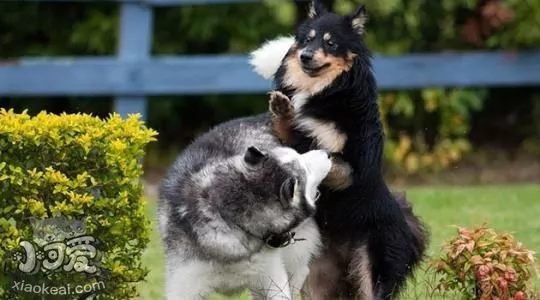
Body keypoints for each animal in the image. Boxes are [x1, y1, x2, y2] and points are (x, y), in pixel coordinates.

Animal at [158, 115, 332, 300]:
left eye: (298, 154)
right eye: (306, 170)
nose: (327, 153)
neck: (227, 216)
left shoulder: (272, 277)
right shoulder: (184, 285)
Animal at [250, 1, 430, 298]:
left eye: (331, 43)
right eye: (307, 39)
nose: (305, 56)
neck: (322, 91)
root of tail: (407, 224)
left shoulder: (350, 169)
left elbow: (317, 153)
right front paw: (283, 108)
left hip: (372, 267)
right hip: (314, 275)